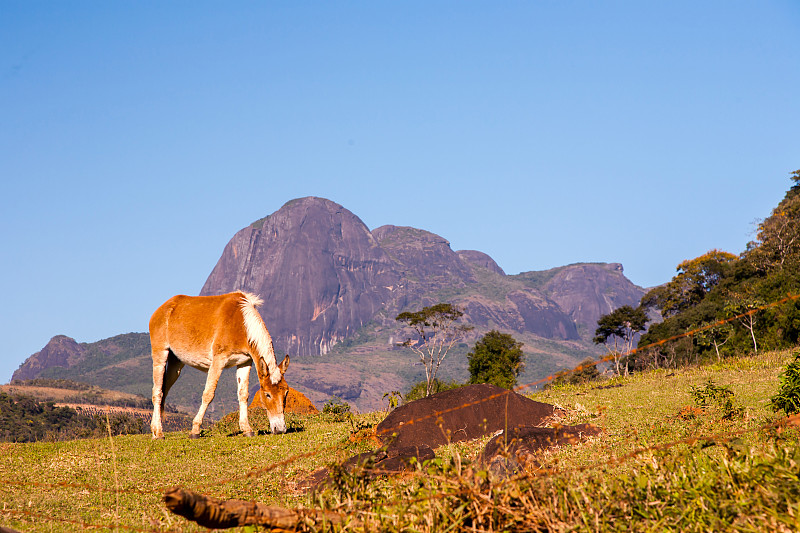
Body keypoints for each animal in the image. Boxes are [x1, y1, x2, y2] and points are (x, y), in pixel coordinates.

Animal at [148, 290, 290, 436]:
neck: (241, 324)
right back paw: (158, 433)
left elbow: (243, 394)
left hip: (176, 363)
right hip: (160, 355)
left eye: (286, 392)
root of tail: (161, 310)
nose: (280, 429)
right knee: (157, 392)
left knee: (164, 390)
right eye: (267, 394)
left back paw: (155, 432)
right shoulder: (218, 361)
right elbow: (208, 394)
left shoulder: (245, 362)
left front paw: (247, 429)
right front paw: (195, 430)